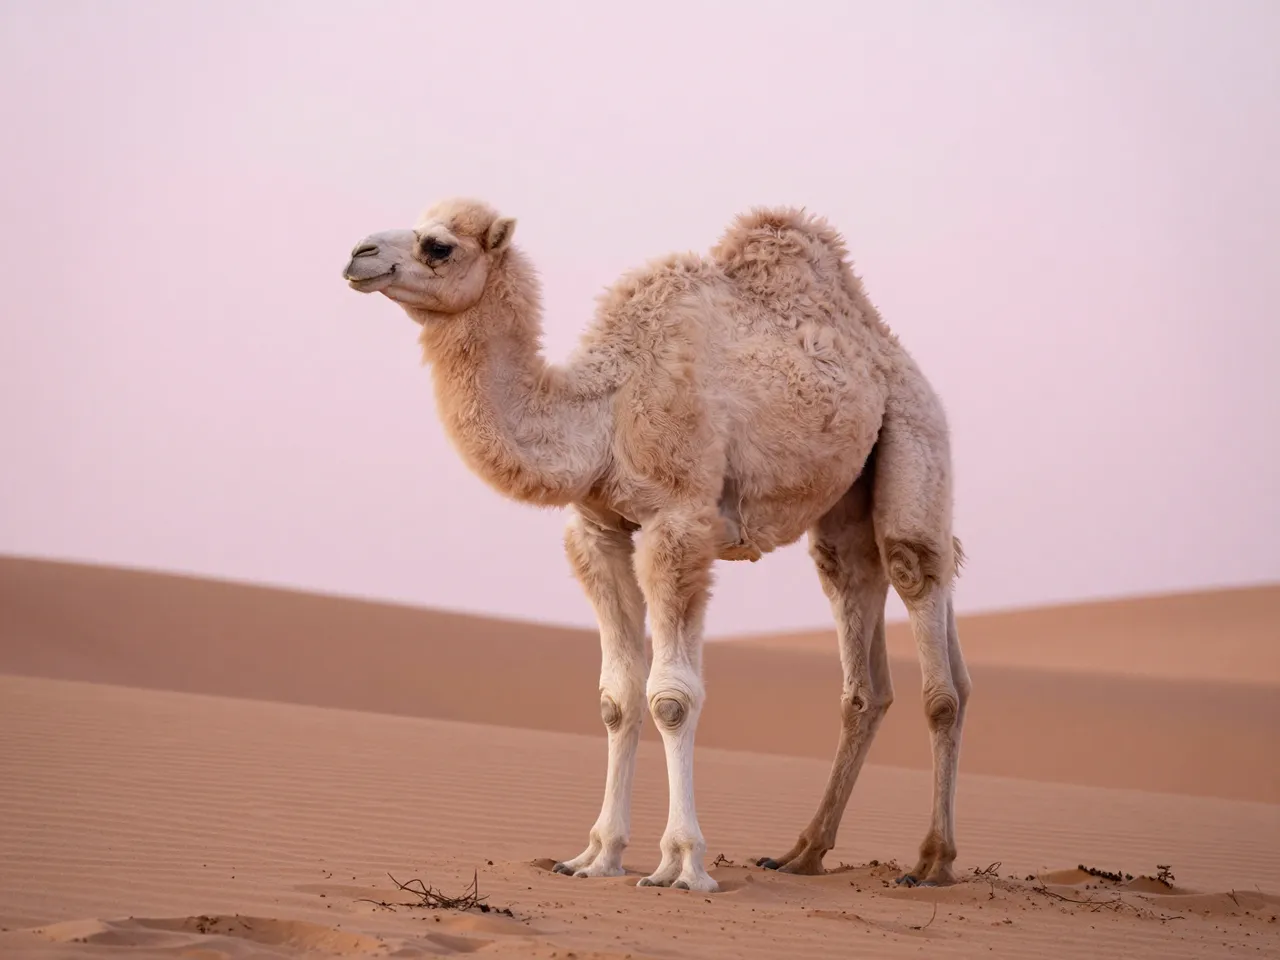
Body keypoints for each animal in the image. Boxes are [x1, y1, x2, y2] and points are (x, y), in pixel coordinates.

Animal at [341, 198, 971, 894]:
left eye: (439, 246)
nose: (358, 254)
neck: (603, 408)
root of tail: (892, 353)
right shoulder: (601, 528)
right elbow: (618, 697)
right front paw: (596, 857)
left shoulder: (679, 520)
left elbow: (671, 697)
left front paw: (683, 865)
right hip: (844, 507)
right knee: (866, 644)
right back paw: (803, 852)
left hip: (915, 435)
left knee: (921, 596)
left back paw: (931, 862)